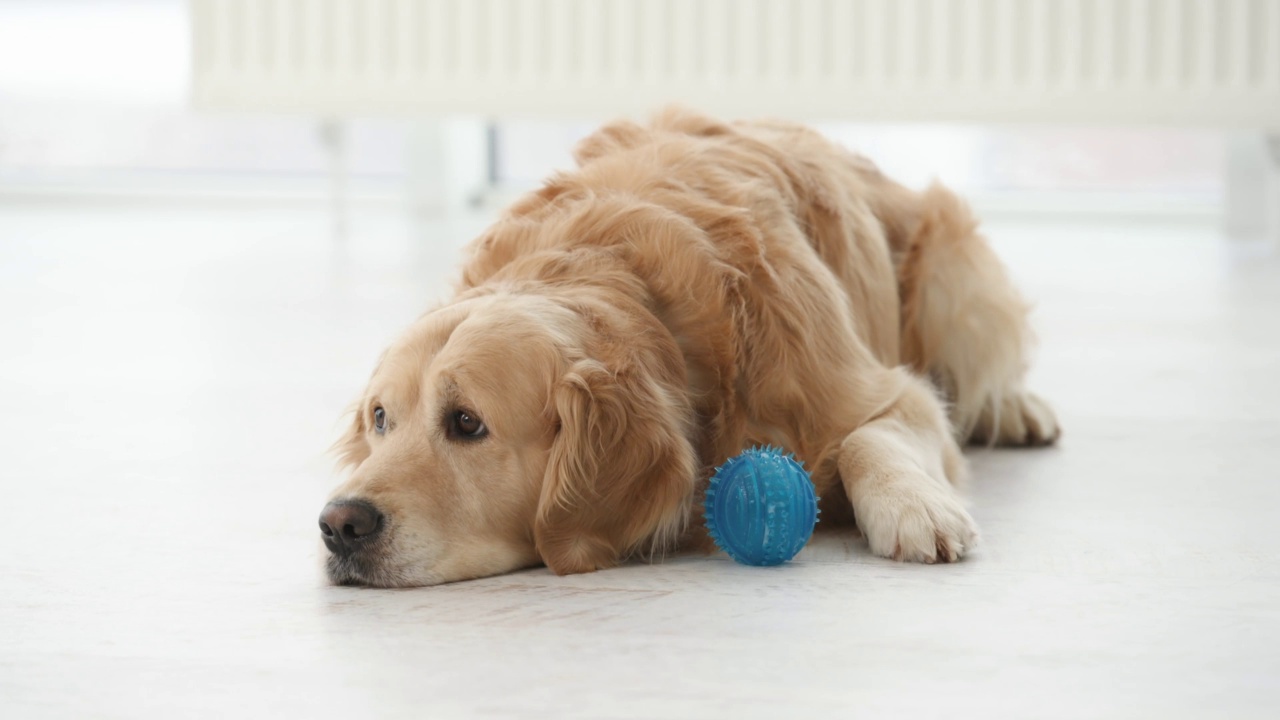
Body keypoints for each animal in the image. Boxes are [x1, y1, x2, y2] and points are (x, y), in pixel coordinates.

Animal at [320, 109, 1059, 586]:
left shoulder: (883, 389)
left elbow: (866, 436)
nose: (338, 524)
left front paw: (913, 506)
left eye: (467, 423)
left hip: (952, 273)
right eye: (380, 419)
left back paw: (1016, 410)